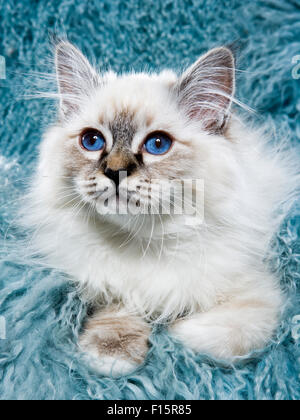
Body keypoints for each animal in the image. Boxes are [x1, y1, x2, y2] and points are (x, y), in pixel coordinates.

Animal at [26, 41, 298, 378]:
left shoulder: (257, 293)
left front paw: (173, 331)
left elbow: (221, 336)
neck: (145, 241)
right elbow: (118, 310)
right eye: (92, 141)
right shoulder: (101, 280)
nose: (115, 172)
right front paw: (111, 353)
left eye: (157, 144)